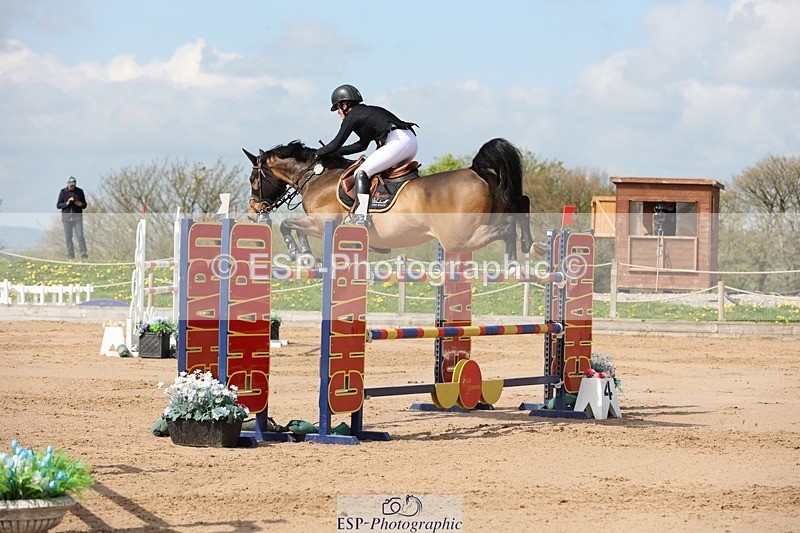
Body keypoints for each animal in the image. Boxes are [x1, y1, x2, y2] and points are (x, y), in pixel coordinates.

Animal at [244, 137, 535, 263]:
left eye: (252, 179)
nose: (252, 212)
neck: (318, 177)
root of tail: (477, 171)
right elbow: (294, 228)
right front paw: (305, 254)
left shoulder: (322, 223)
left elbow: (287, 225)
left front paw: (297, 252)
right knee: (521, 203)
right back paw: (530, 245)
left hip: (458, 237)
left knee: (507, 227)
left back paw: (513, 261)